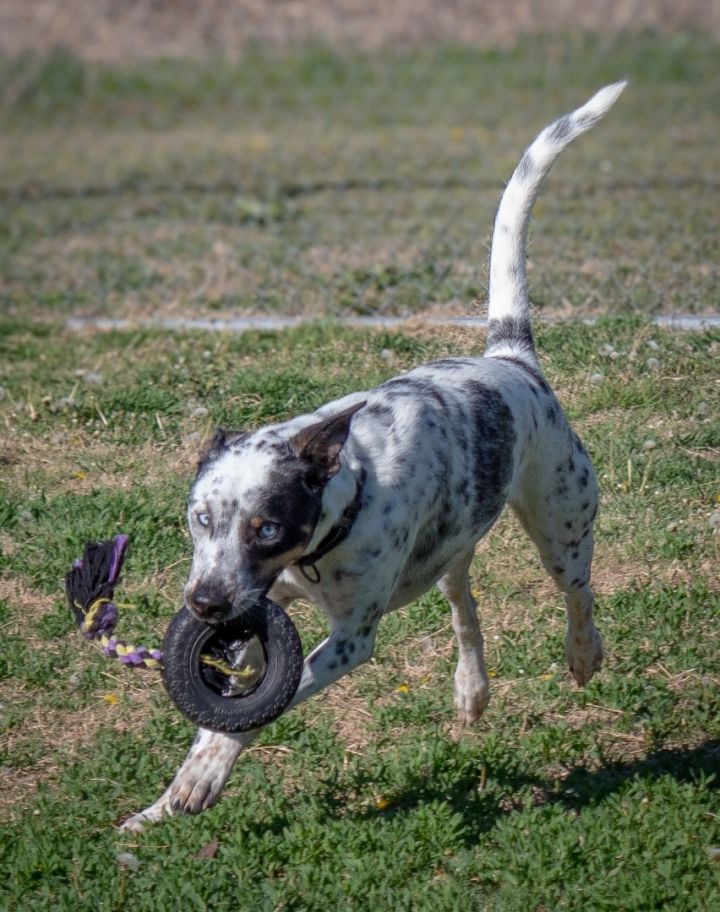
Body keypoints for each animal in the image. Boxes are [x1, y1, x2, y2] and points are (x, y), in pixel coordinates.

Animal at [122, 82, 624, 832]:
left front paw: (203, 773)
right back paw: (471, 691)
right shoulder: (259, 602)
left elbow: (250, 714)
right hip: (451, 545)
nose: (204, 605)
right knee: (465, 606)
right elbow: (228, 704)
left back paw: (583, 654)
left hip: (562, 520)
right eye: (200, 520)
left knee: (577, 590)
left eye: (266, 527)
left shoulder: (350, 639)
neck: (337, 510)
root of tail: (509, 358)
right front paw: (166, 800)